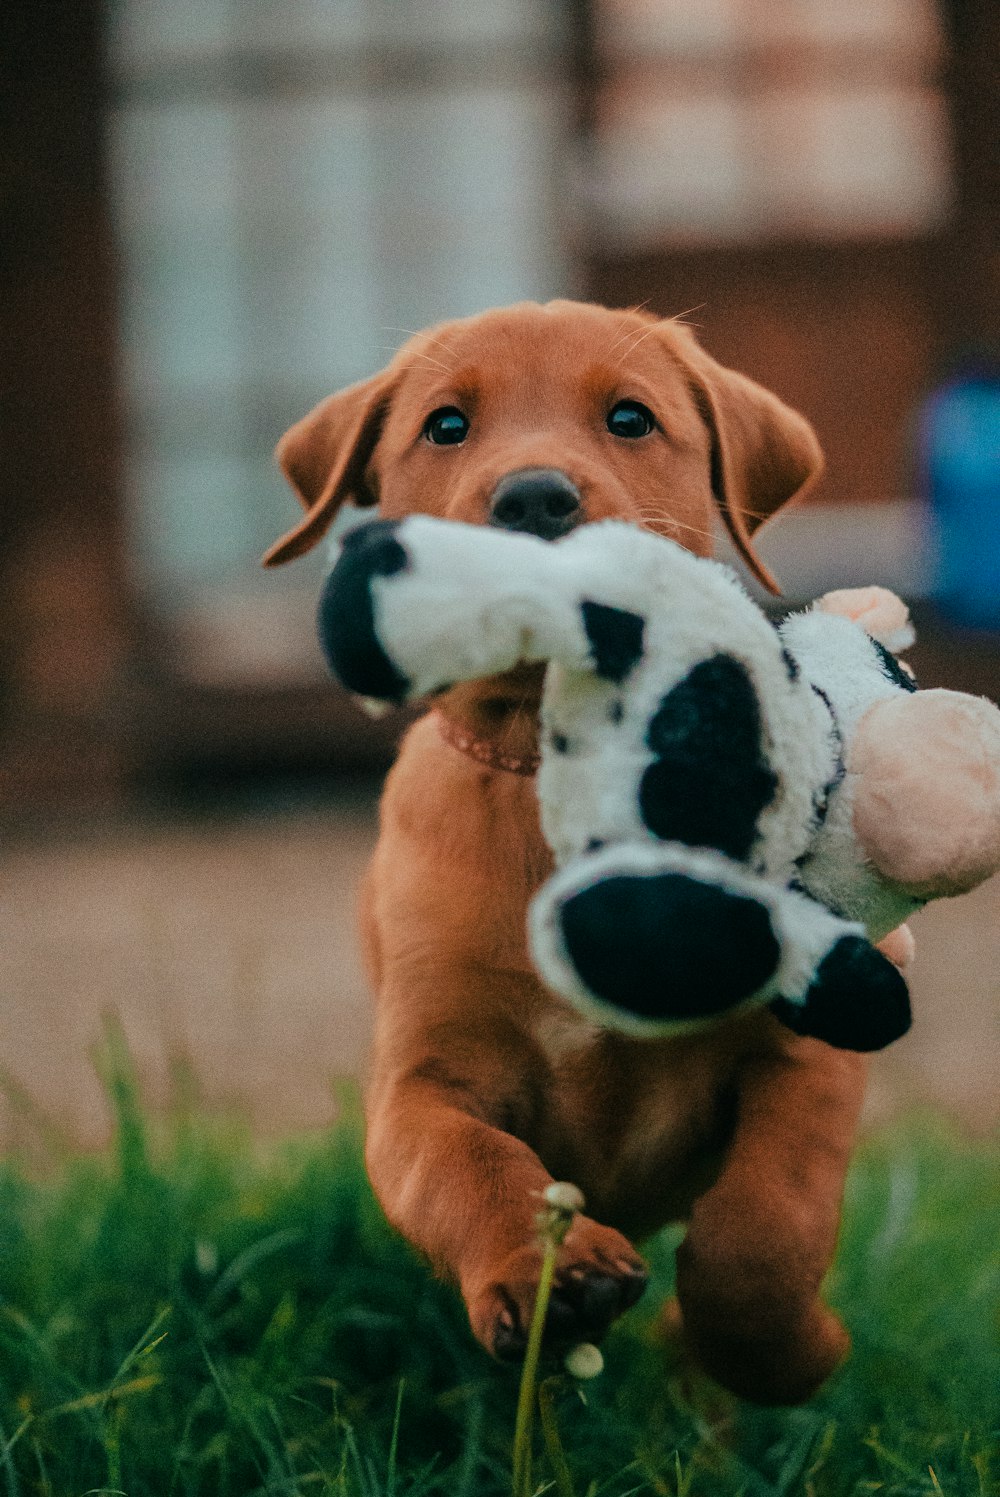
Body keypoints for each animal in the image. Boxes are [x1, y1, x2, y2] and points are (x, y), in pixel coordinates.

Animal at [267, 300, 868, 1401]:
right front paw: (544, 1271)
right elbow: (465, 1165)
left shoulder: (802, 1054)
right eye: (446, 426)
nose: (535, 494)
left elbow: (763, 1228)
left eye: (629, 417)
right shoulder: (420, 1081)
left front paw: (787, 1353)